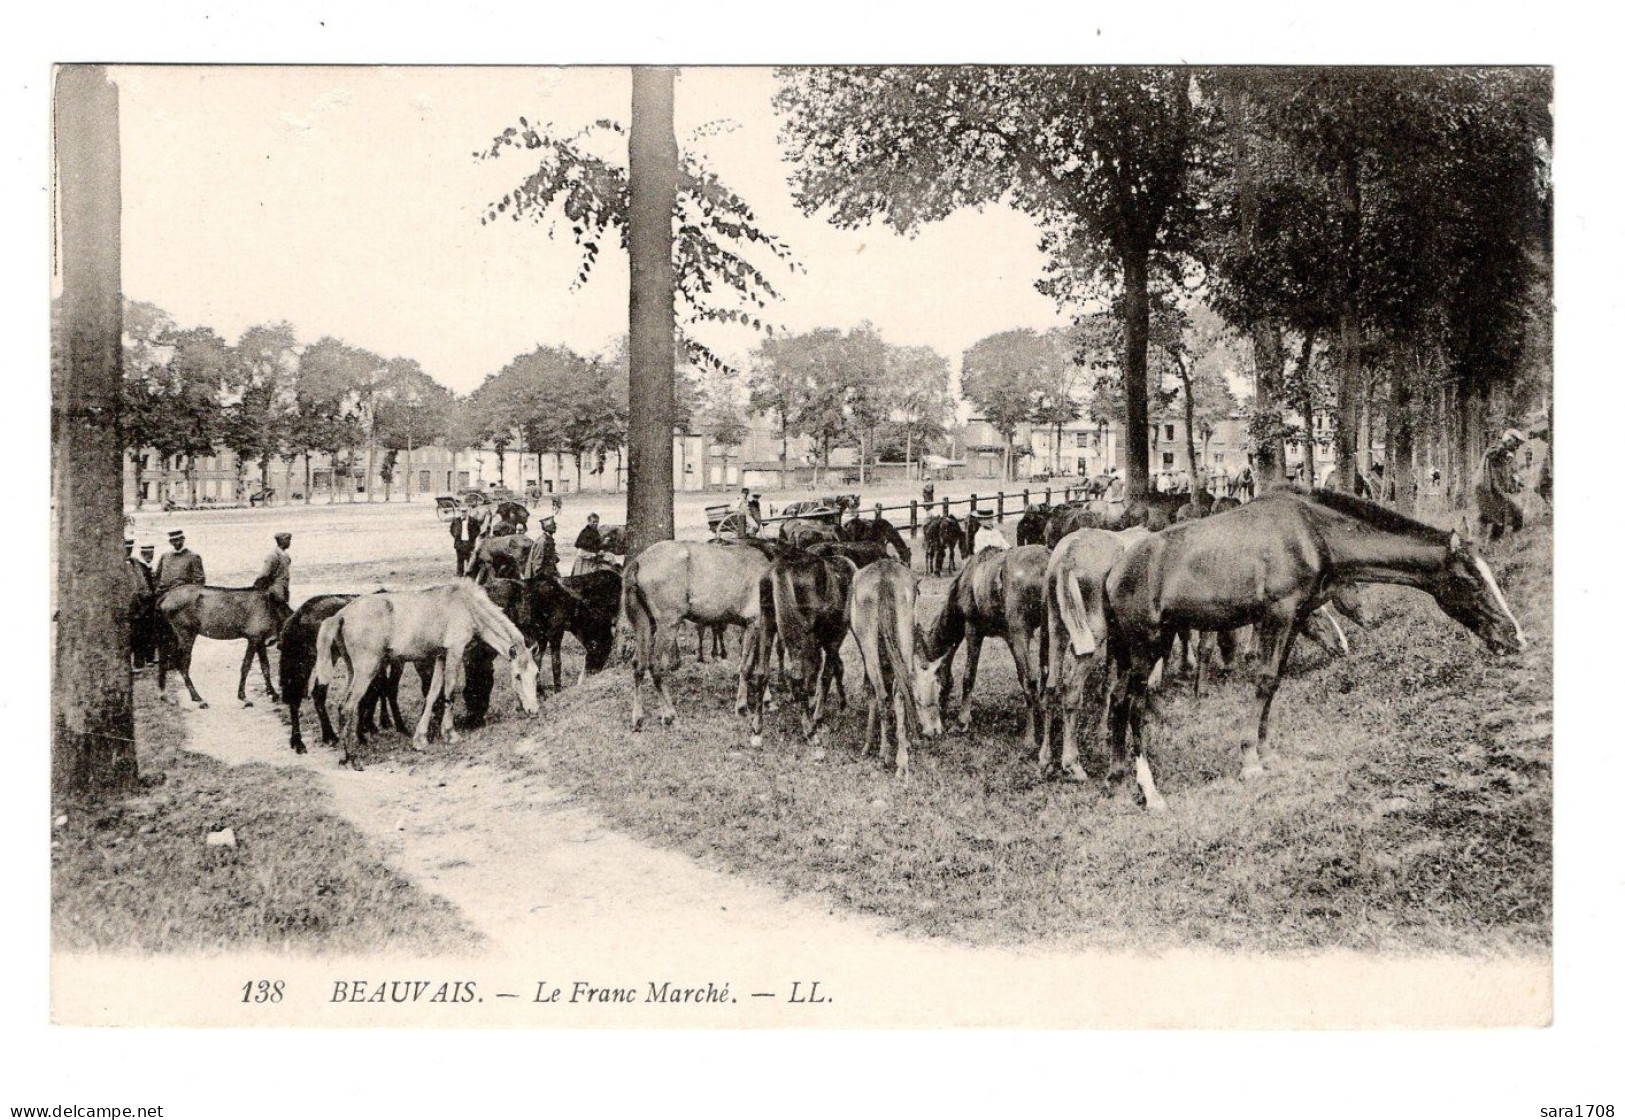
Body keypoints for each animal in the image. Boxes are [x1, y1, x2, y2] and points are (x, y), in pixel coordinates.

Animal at [155, 585, 292, 708]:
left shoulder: (260, 641)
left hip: (169, 636)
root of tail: (166, 596)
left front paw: (273, 693)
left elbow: (265, 667)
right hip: (186, 635)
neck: (271, 607)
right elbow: (246, 667)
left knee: (164, 662)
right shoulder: (254, 638)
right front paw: (243, 697)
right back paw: (198, 699)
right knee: (182, 664)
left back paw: (165, 696)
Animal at [617, 539, 776, 728]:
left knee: (638, 664)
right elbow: (747, 666)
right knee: (655, 665)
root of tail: (639, 560)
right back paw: (669, 714)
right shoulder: (754, 623)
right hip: (668, 624)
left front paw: (766, 699)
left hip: (645, 625)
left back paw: (638, 717)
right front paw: (742, 707)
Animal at [851, 555, 949, 773]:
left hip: (871, 643)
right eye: (937, 690)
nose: (936, 731)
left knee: (884, 692)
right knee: (898, 691)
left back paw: (887, 754)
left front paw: (870, 745)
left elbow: (871, 691)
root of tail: (884, 576)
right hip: (903, 638)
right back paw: (899, 755)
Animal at [929, 542, 1053, 751]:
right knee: (1045, 677)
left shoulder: (973, 629)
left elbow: (969, 676)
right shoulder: (1009, 638)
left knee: (1032, 680)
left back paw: (1030, 738)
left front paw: (962, 721)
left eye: (936, 676)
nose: (939, 711)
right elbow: (1020, 677)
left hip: (1021, 631)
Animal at [1098, 484, 1527, 809]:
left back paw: (1116, 778)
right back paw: (1150, 791)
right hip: (1148, 645)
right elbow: (1264, 680)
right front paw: (1250, 760)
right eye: (1470, 580)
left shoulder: (1294, 619)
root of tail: (1114, 571)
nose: (1514, 636)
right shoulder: (1279, 614)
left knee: (1117, 700)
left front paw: (1266, 753)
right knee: (1135, 705)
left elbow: (1274, 682)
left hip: (1134, 649)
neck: (1310, 533)